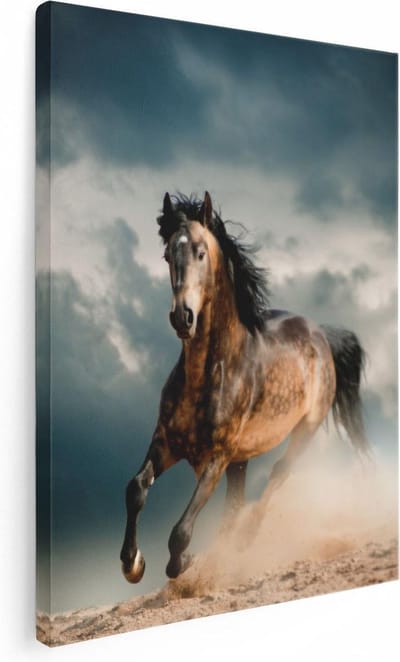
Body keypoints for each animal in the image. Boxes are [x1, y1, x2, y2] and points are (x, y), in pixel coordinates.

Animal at [120, 191, 370, 583]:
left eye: (200, 252)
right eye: (167, 255)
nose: (182, 317)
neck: (208, 373)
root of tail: (321, 334)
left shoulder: (217, 457)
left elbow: (181, 532)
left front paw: (184, 562)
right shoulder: (166, 443)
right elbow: (135, 489)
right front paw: (132, 563)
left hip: (305, 430)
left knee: (277, 475)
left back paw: (246, 538)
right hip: (242, 459)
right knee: (235, 505)